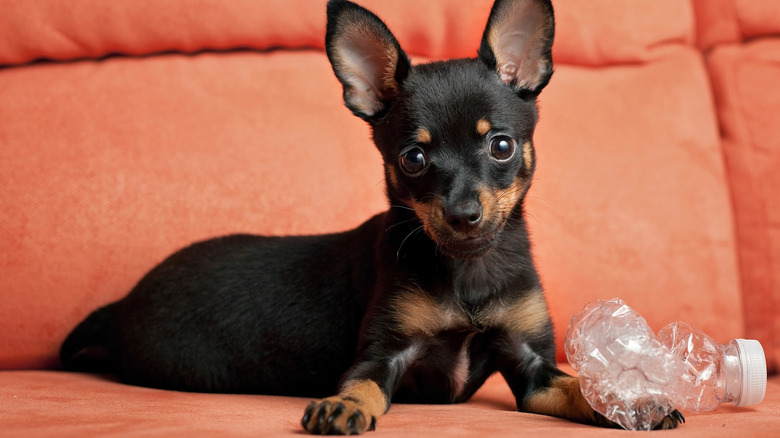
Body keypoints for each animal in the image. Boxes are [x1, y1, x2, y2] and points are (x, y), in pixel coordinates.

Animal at [59, 0, 684, 432]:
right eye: (413, 158)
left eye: (501, 146)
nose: (464, 214)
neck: (467, 271)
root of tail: (122, 303)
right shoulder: (386, 353)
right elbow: (363, 385)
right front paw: (340, 406)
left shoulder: (532, 366)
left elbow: (583, 388)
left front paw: (636, 403)